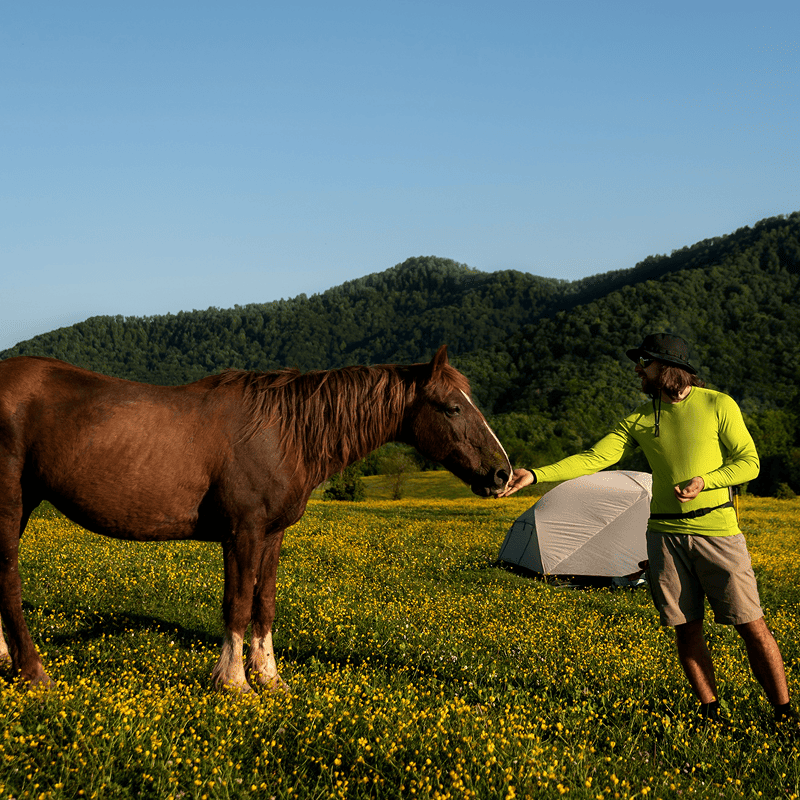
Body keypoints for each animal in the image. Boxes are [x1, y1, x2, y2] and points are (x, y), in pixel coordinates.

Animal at [0, 345, 511, 692]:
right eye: (453, 407)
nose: (502, 473)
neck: (284, 432)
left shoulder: (271, 535)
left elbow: (264, 604)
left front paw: (268, 676)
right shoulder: (241, 533)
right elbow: (239, 603)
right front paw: (234, 680)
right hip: (11, 502)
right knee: (9, 578)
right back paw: (33, 671)